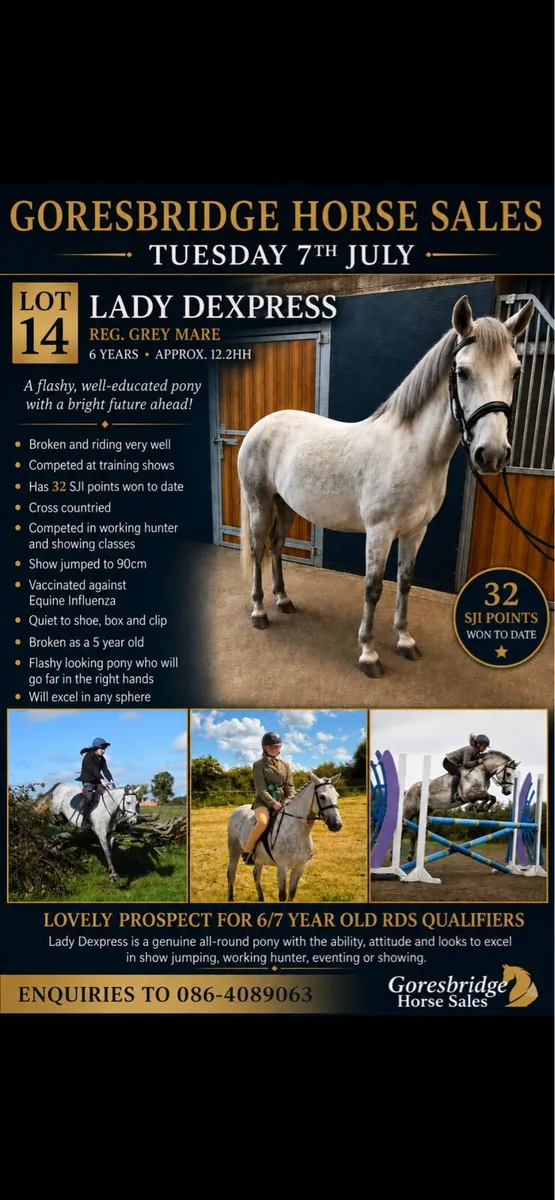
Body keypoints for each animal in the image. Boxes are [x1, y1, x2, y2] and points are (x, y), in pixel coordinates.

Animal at [227, 772, 342, 902]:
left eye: (337, 796)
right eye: (322, 797)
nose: (337, 824)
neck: (299, 832)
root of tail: (238, 809)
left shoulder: (300, 867)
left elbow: (292, 893)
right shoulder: (282, 867)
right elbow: (282, 895)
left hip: (258, 859)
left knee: (256, 875)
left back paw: (261, 898)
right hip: (234, 851)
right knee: (231, 874)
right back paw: (230, 898)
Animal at [238, 295, 534, 676]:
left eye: (516, 371)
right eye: (463, 372)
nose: (492, 455)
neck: (413, 451)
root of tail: (260, 426)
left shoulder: (416, 531)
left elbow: (405, 582)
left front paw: (405, 641)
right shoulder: (380, 531)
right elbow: (373, 587)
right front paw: (368, 653)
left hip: (285, 504)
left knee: (276, 545)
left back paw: (284, 600)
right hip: (259, 501)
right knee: (258, 548)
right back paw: (259, 612)